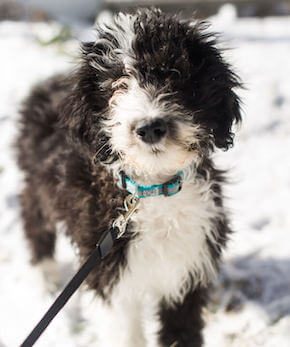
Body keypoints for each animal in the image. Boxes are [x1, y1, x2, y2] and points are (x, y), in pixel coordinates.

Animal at [17, 8, 241, 347]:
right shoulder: (109, 275)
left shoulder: (188, 267)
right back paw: (45, 276)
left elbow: (182, 331)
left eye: (173, 73)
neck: (153, 189)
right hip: (36, 185)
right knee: (34, 219)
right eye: (116, 85)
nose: (150, 128)